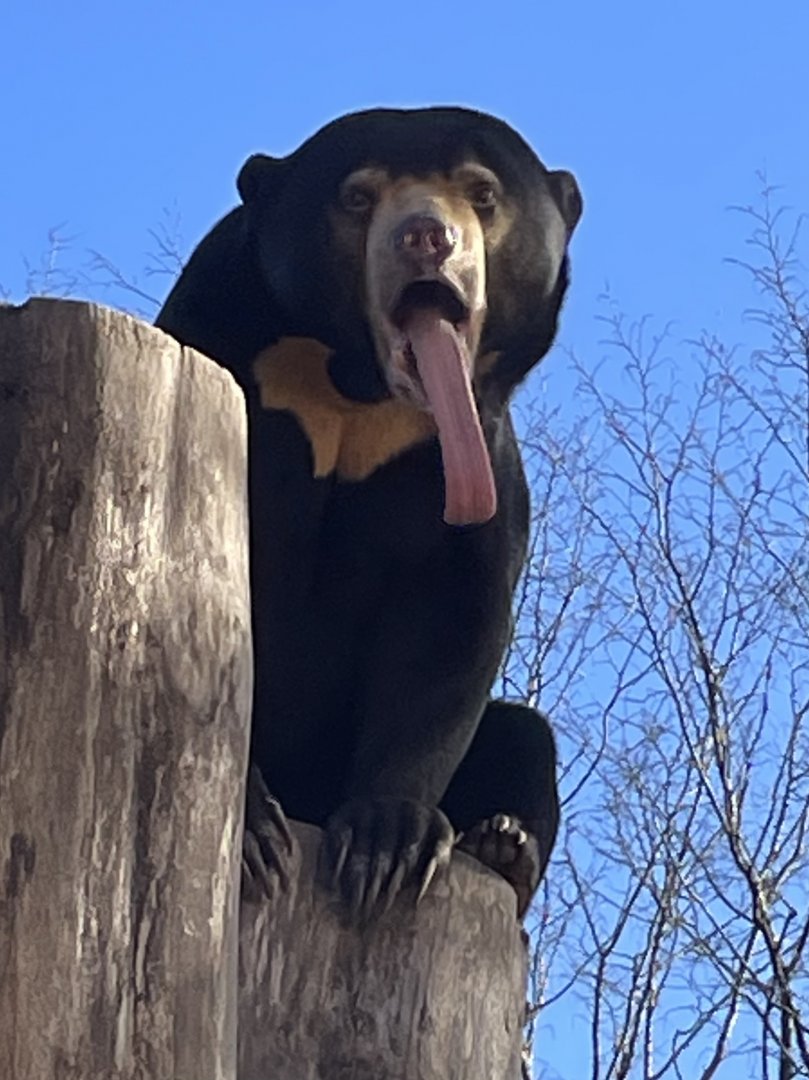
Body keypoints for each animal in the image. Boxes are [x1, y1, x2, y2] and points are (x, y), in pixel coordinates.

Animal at [156, 107, 581, 919]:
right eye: (358, 196)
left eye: (482, 192)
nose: (426, 236)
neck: (355, 389)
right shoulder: (222, 349)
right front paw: (254, 835)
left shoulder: (469, 447)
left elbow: (452, 615)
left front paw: (389, 844)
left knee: (523, 736)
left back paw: (502, 842)